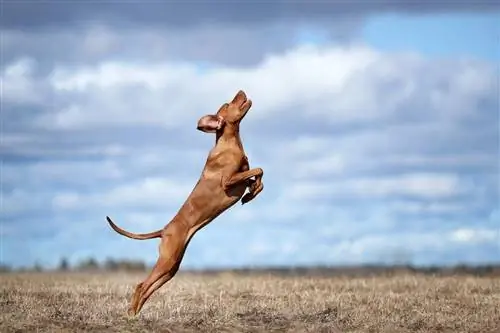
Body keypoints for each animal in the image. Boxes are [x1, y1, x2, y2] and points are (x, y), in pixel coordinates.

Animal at [104, 89, 264, 316]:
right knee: (141, 285)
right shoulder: (228, 181)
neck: (229, 143)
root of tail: (164, 229)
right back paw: (132, 315)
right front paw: (251, 191)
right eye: (227, 103)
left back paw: (135, 313)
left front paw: (252, 193)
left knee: (147, 288)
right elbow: (259, 169)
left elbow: (257, 176)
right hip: (168, 260)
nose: (240, 91)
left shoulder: (241, 177)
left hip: (172, 266)